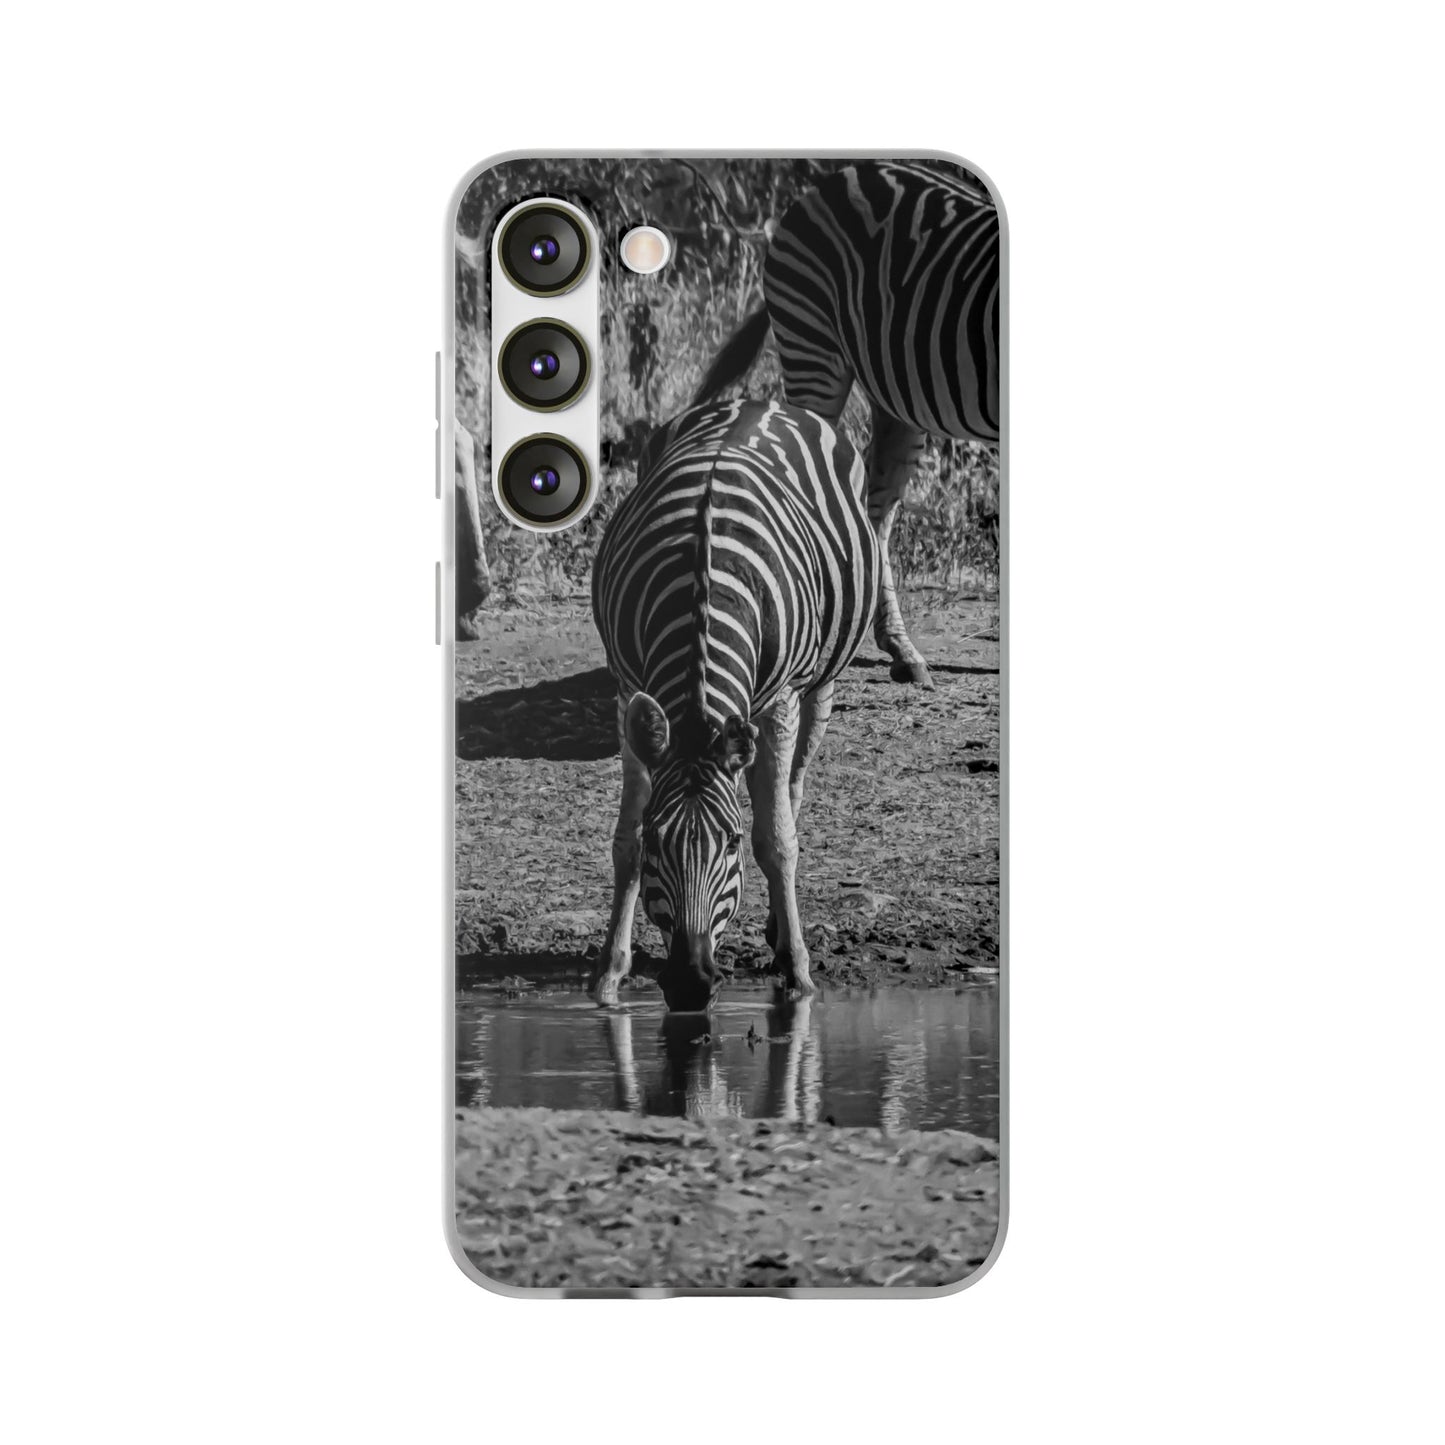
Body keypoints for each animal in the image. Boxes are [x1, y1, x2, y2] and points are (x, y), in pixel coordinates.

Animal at [590, 398, 879, 1012]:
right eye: (659, 840)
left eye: (730, 843)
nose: (690, 983)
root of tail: (759, 401)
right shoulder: (627, 688)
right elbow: (624, 843)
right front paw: (609, 973)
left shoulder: (781, 701)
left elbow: (777, 840)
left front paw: (797, 972)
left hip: (818, 684)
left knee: (791, 790)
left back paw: (779, 928)